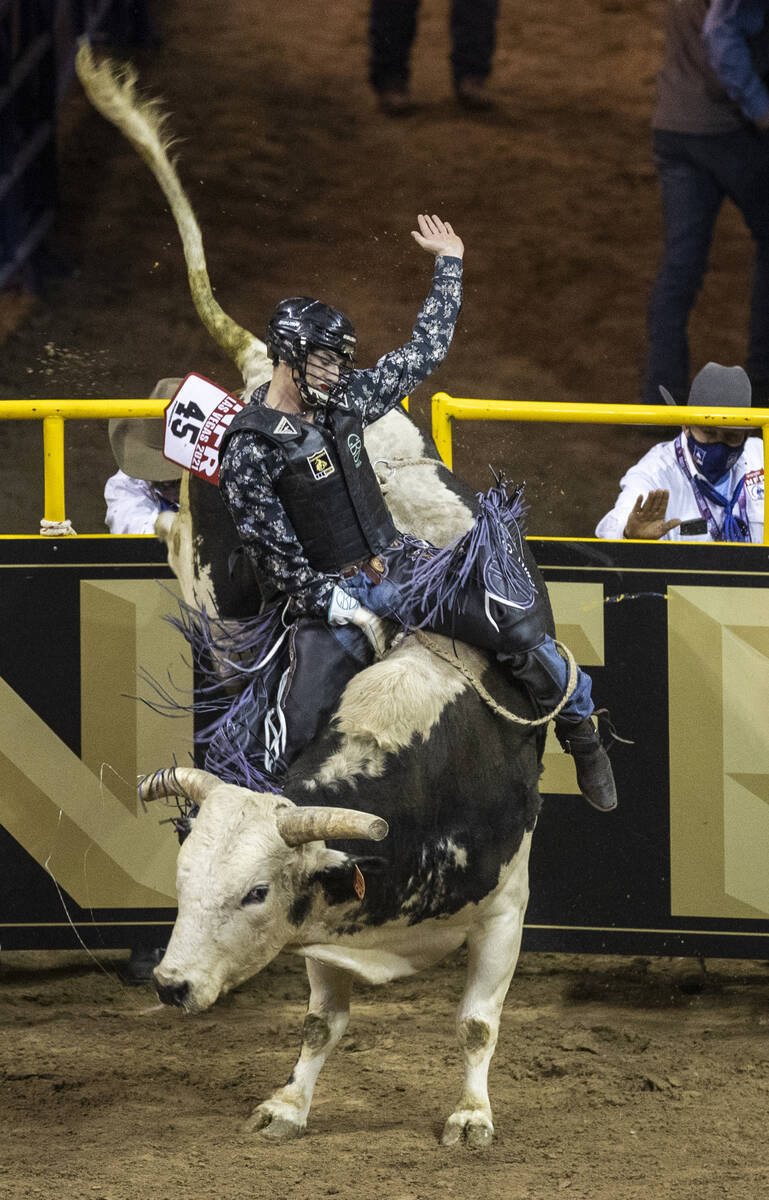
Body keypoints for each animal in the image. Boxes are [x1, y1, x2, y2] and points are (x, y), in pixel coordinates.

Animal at [77, 44, 573, 1142]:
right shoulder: (334, 932)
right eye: (185, 878)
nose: (171, 984)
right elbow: (322, 1020)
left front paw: (469, 1116)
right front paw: (289, 1104)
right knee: (187, 549)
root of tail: (261, 359)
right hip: (216, 579)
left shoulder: (508, 899)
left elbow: (477, 1019)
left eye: (257, 893)